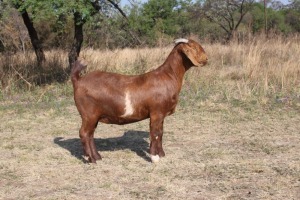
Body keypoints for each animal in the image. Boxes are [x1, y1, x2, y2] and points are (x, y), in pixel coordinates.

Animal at [72, 38, 209, 163]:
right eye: (195, 47)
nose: (206, 58)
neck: (168, 76)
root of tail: (78, 80)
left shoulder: (162, 114)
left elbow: (161, 132)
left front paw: (161, 154)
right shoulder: (156, 112)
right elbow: (155, 133)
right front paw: (154, 157)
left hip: (93, 116)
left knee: (90, 134)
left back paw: (97, 157)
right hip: (88, 114)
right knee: (84, 133)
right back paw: (90, 159)